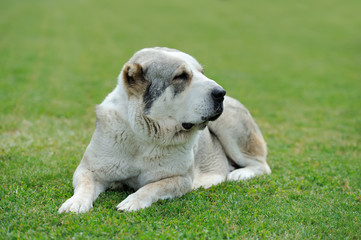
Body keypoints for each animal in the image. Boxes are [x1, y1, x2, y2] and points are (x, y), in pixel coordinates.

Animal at [57, 47, 268, 213]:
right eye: (181, 76)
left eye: (202, 72)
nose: (220, 93)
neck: (144, 135)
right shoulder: (88, 169)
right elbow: (85, 185)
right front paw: (75, 203)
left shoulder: (181, 179)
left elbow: (152, 187)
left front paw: (132, 201)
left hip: (229, 126)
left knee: (262, 166)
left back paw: (238, 174)